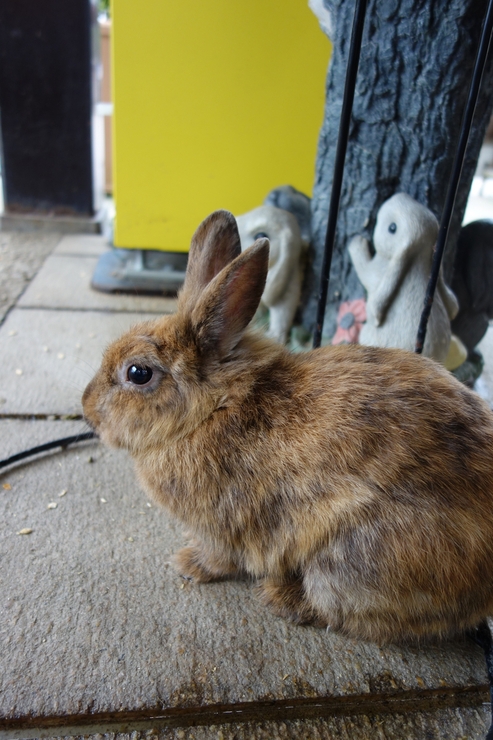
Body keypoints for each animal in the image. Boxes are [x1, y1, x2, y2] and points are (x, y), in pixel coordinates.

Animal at [82, 210, 492, 648]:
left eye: (138, 373)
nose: (87, 409)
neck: (212, 410)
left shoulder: (221, 525)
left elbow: (220, 556)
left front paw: (188, 564)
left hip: (350, 563)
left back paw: (282, 597)